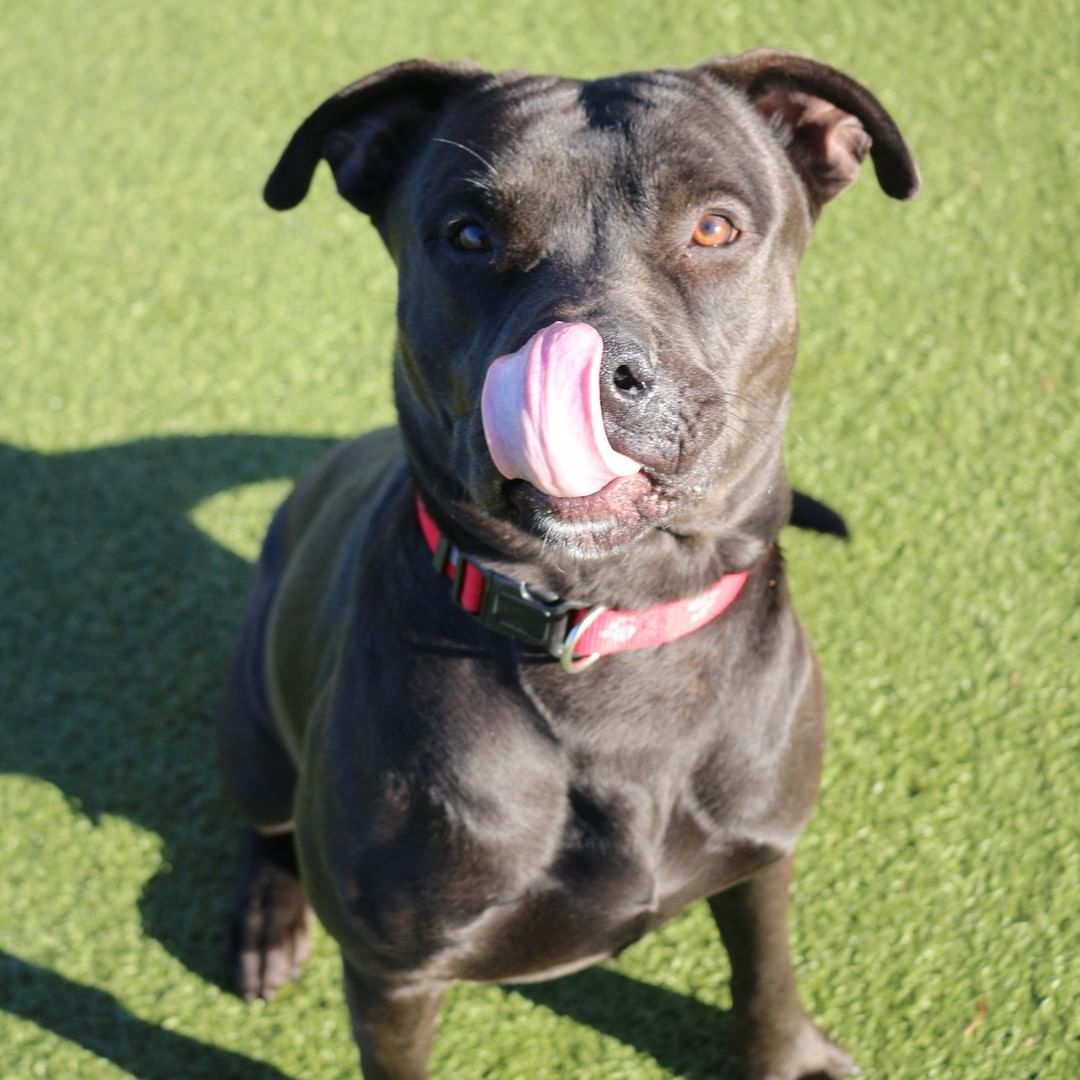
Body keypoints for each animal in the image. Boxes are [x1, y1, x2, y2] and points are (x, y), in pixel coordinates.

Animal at [217, 46, 920, 1075]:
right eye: (469, 234)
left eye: (715, 225)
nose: (595, 370)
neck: (615, 623)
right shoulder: (395, 973)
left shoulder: (762, 855)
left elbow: (765, 971)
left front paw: (787, 1054)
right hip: (256, 733)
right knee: (264, 825)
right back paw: (268, 920)